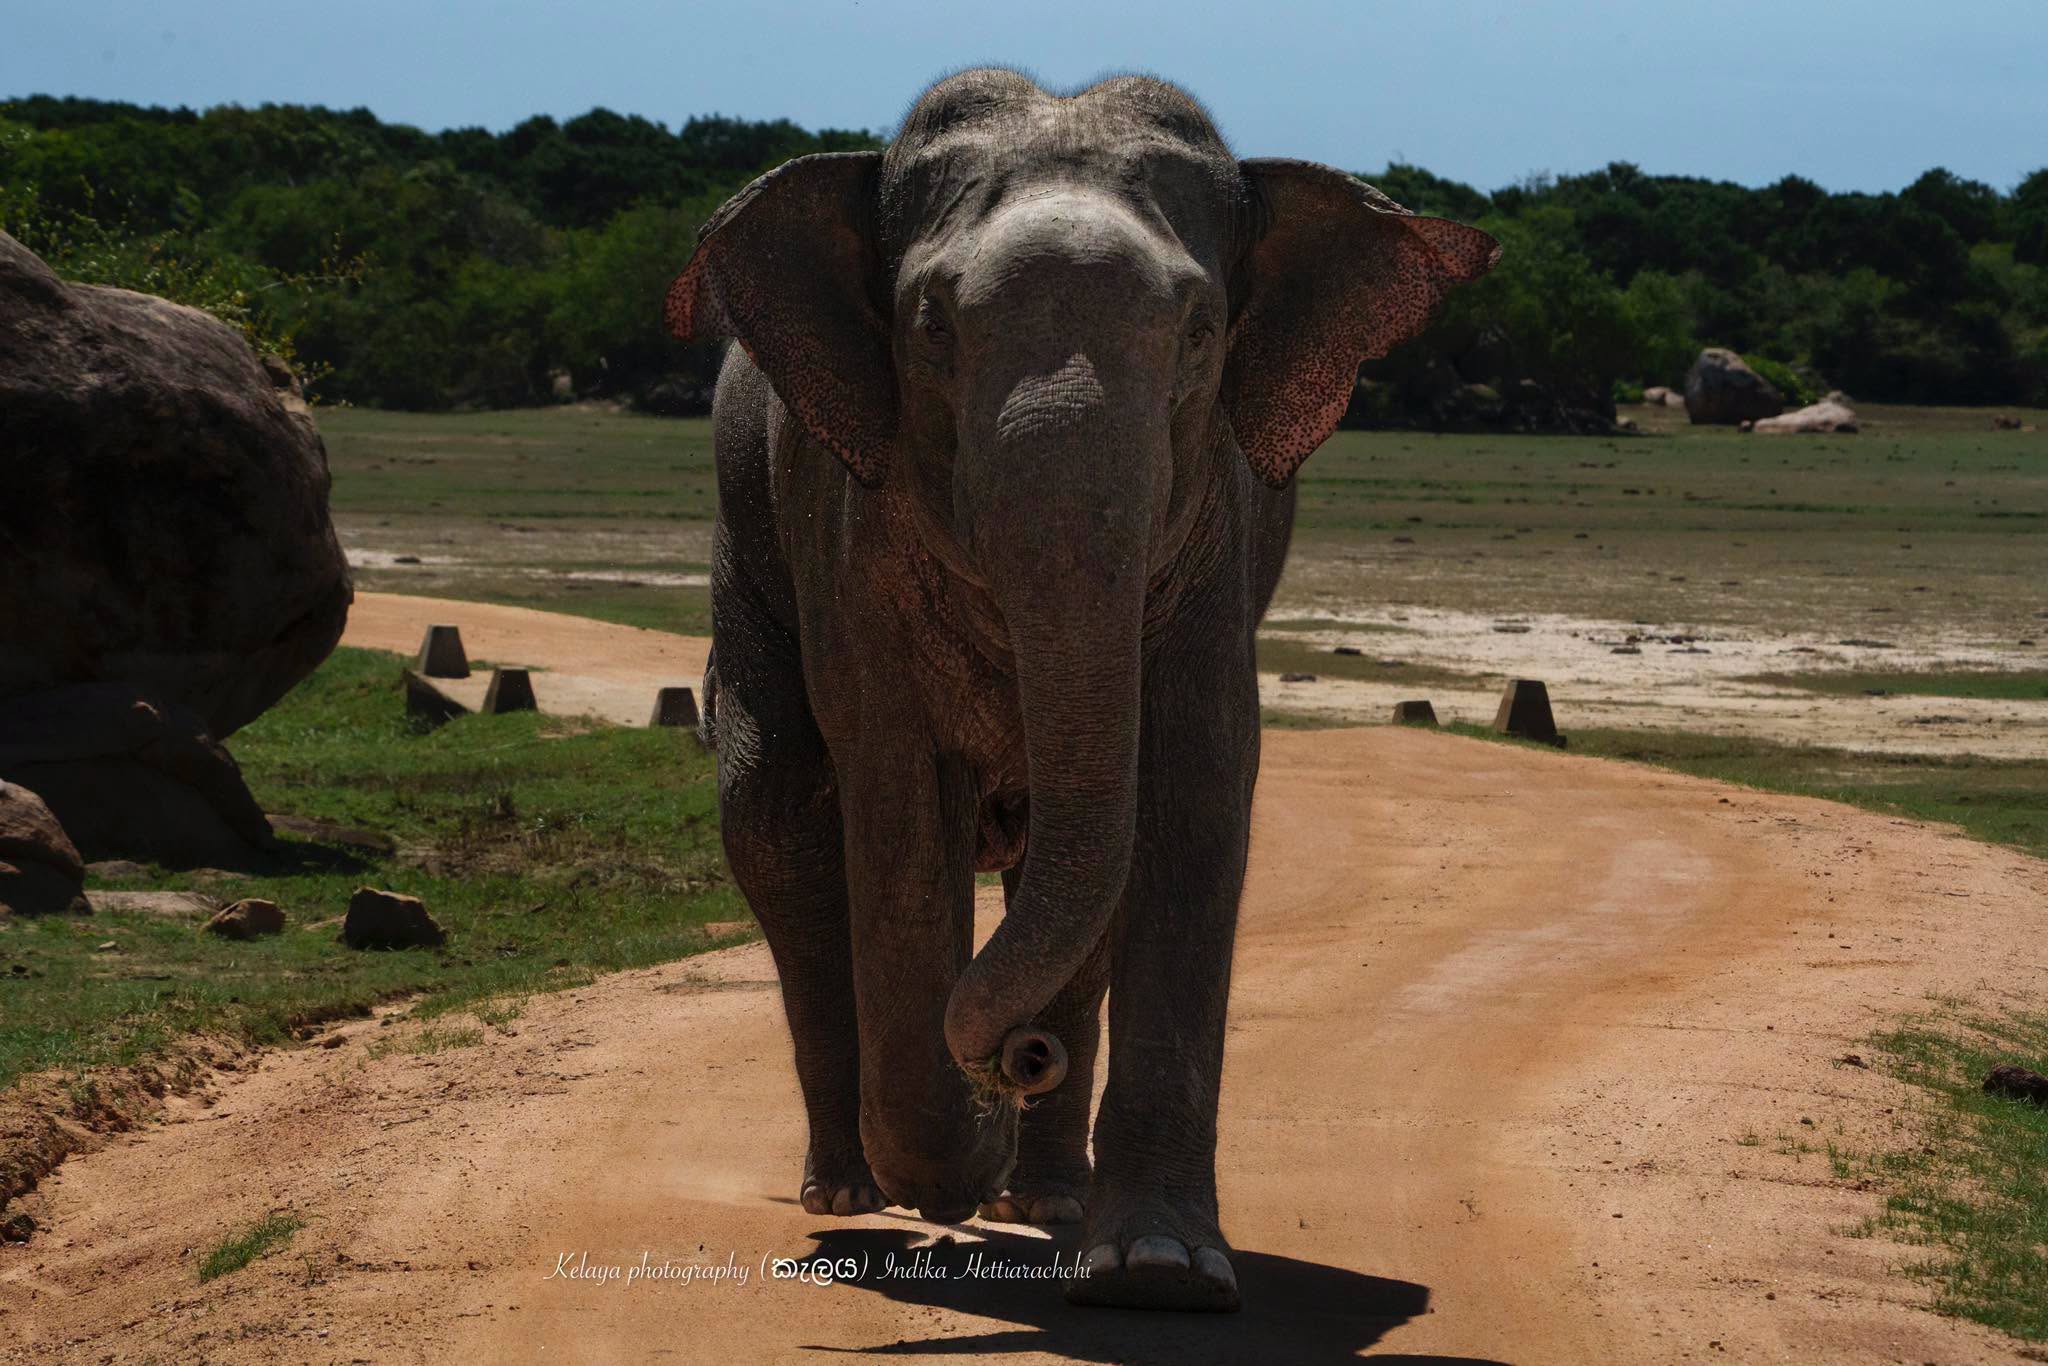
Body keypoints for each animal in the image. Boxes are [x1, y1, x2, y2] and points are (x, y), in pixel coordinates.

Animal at [667, 68, 1496, 1312]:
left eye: (1199, 331)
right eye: (931, 326)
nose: (1018, 1063)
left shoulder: (1213, 538)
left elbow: (1192, 795)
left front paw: (1159, 1274)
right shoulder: (849, 533)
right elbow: (894, 809)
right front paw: (949, 1171)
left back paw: (1044, 1202)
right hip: (746, 547)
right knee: (776, 825)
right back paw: (853, 1195)